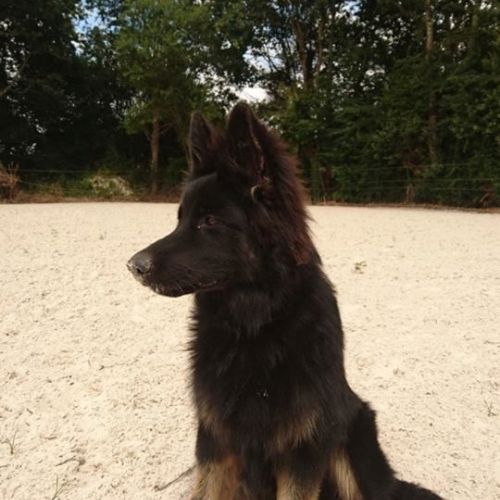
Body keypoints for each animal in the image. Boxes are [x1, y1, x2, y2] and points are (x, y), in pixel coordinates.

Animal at [127, 103, 442, 499]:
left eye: (210, 220)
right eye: (180, 219)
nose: (133, 266)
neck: (253, 325)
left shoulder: (302, 453)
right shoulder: (215, 442)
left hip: (350, 444)